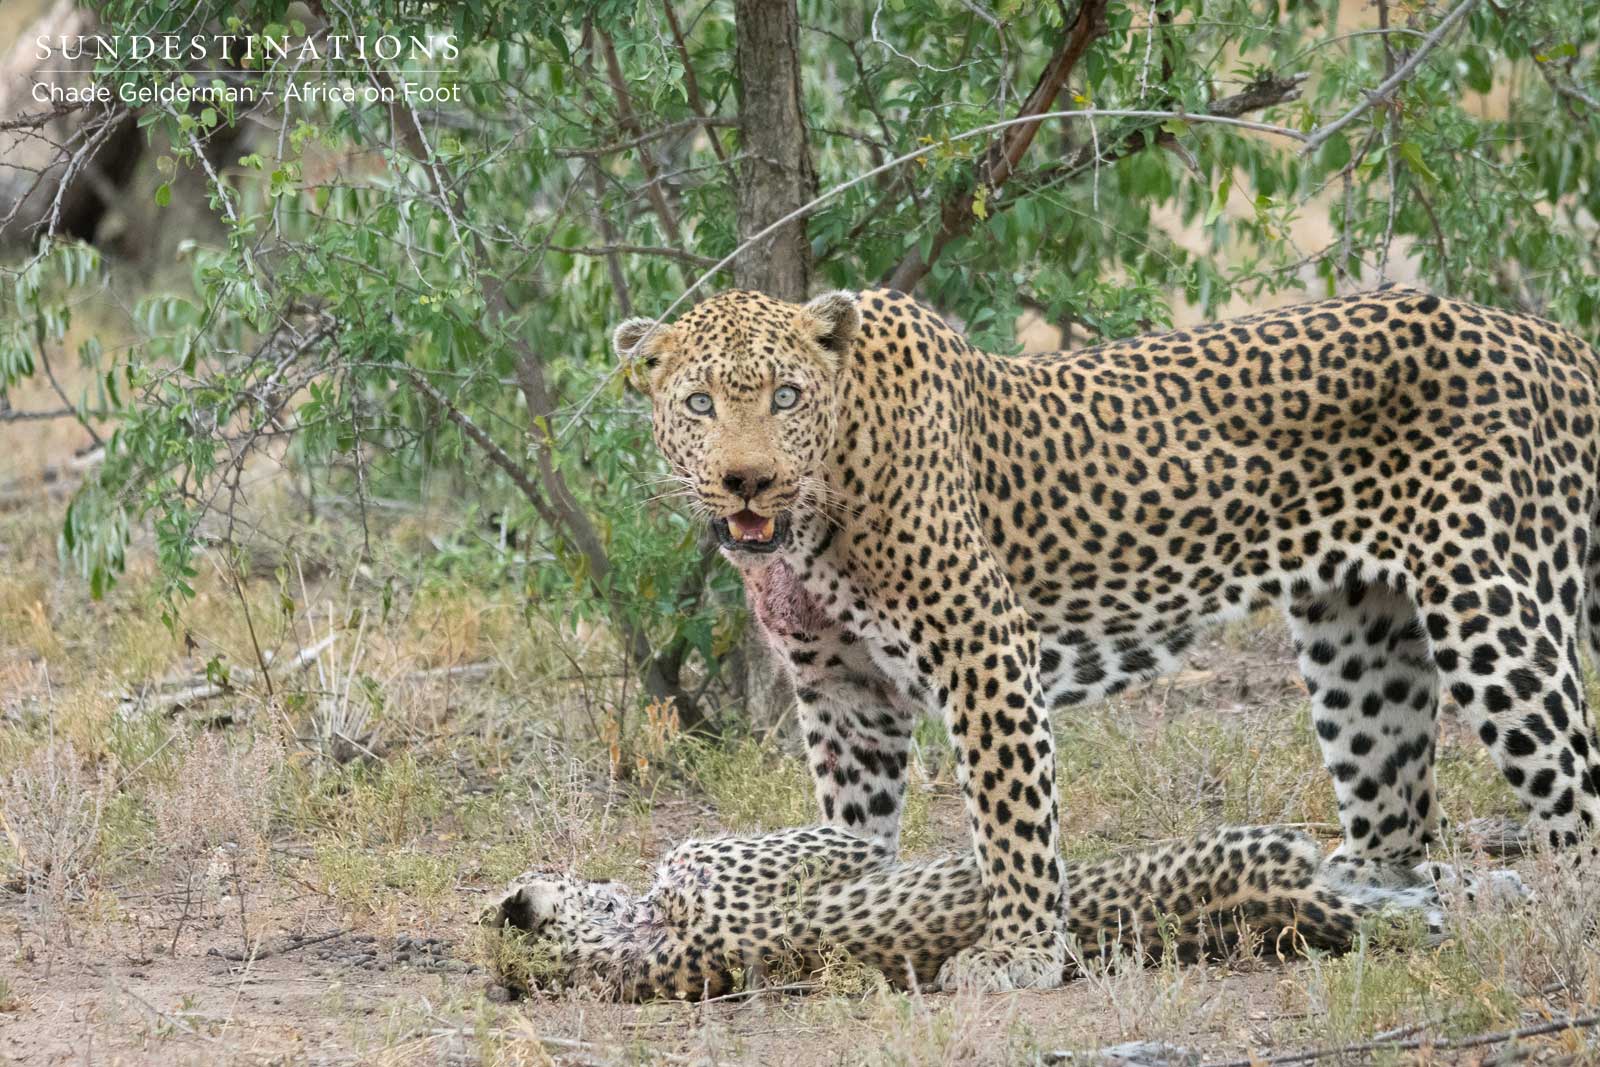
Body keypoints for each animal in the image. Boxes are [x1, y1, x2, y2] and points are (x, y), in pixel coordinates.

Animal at [610, 285, 1600, 992]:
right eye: (698, 403)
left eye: (786, 396)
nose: (747, 479)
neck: (815, 518)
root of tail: (1549, 337)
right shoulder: (847, 702)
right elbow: (848, 834)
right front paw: (830, 899)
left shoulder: (985, 652)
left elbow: (1011, 818)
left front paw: (1017, 952)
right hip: (1359, 641)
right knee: (1398, 812)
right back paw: (1352, 889)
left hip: (1492, 608)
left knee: (1577, 796)